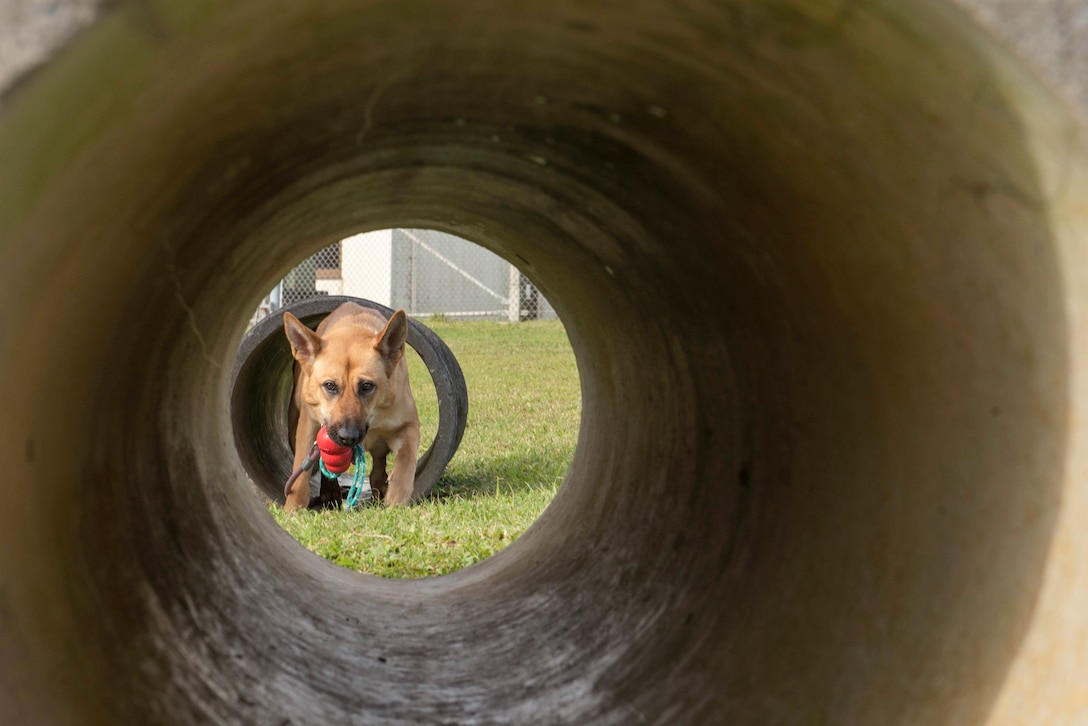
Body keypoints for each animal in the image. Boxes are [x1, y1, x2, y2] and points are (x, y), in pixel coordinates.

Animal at [282, 304, 417, 513]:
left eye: (367, 386)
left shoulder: (408, 425)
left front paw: (396, 498)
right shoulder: (309, 426)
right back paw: (330, 491)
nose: (347, 437)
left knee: (378, 466)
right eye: (330, 386)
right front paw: (293, 509)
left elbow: (406, 459)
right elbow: (300, 475)